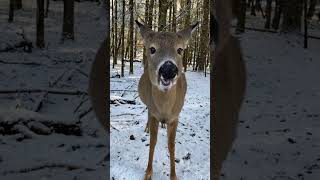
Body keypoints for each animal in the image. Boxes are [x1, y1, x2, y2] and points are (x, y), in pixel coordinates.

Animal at [136, 20, 200, 180]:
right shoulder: (153, 113)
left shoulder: (175, 117)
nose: (168, 69)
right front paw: (148, 173)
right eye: (152, 49)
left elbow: (171, 145)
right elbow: (153, 141)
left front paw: (173, 175)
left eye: (180, 50)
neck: (164, 108)